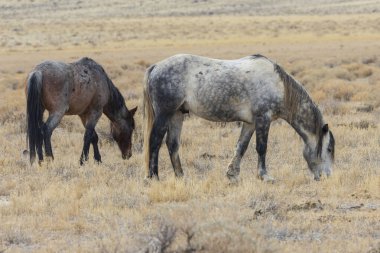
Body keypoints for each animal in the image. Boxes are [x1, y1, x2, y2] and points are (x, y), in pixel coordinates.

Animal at [143, 53, 336, 181]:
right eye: (329, 149)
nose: (327, 176)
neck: (278, 86)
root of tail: (155, 67)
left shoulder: (250, 123)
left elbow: (241, 147)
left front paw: (232, 174)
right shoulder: (263, 119)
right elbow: (262, 148)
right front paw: (264, 176)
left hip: (177, 115)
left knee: (172, 145)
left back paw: (181, 176)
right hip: (164, 114)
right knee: (154, 142)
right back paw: (153, 177)